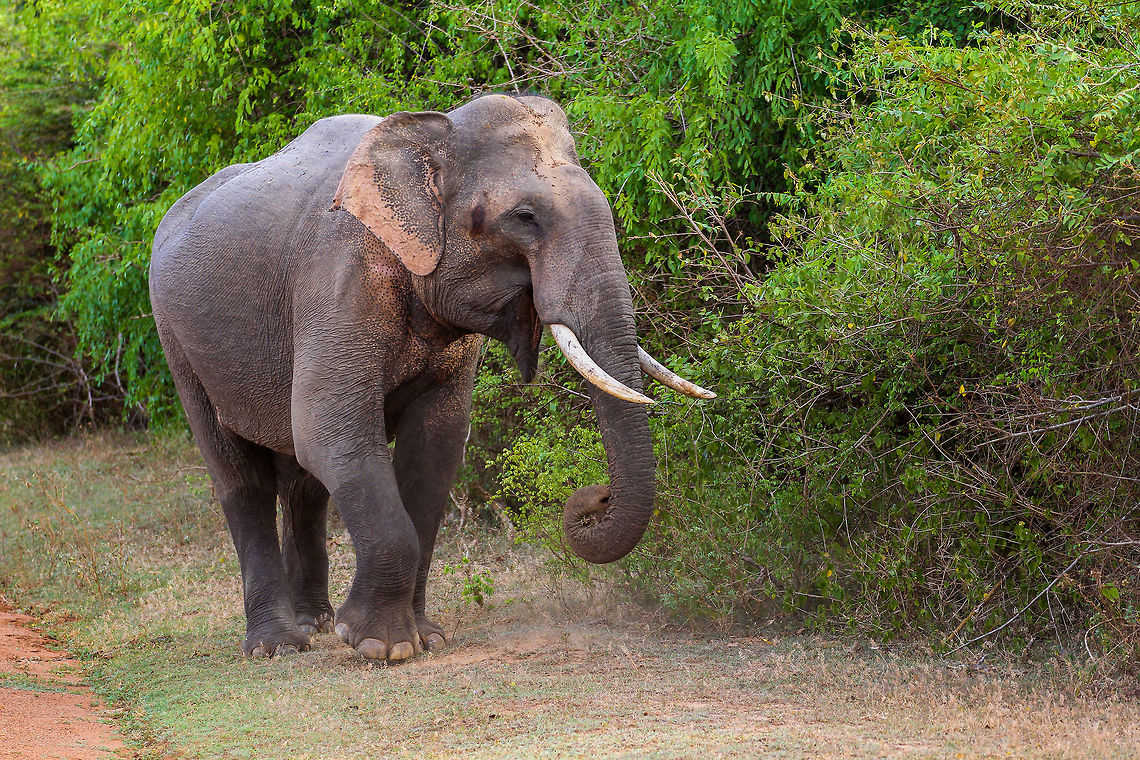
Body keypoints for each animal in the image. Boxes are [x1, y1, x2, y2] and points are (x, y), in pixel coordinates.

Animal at [148, 93, 714, 663]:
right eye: (525, 217)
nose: (596, 498)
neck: (435, 135)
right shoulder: (338, 278)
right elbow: (331, 432)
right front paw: (381, 646)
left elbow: (435, 448)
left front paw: (423, 637)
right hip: (176, 341)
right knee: (241, 479)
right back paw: (279, 646)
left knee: (305, 485)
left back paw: (314, 624)